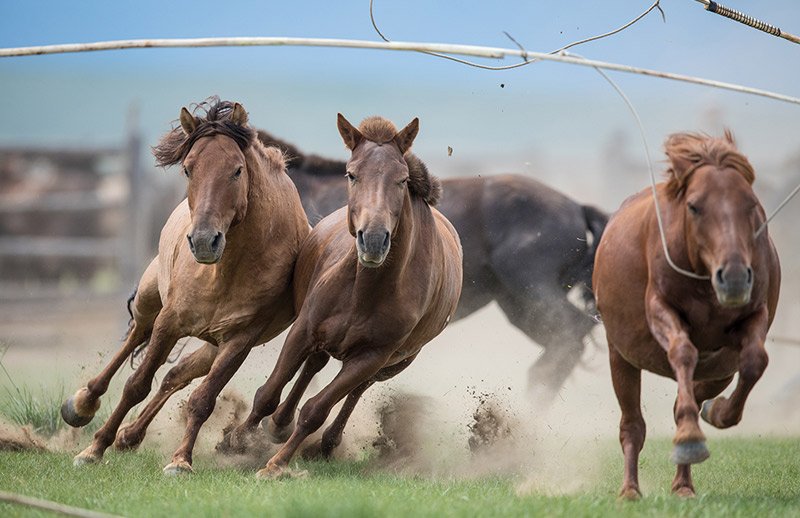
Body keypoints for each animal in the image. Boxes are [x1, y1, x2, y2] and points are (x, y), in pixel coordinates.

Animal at [58, 99, 310, 478]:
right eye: (189, 169)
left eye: (237, 170)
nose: (204, 241)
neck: (224, 270)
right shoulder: (170, 321)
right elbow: (135, 386)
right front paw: (94, 448)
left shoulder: (238, 341)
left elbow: (201, 400)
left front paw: (180, 460)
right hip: (150, 301)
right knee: (135, 341)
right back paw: (84, 403)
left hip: (210, 346)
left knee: (175, 376)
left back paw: (130, 435)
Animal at [220, 116, 462, 478]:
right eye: (351, 174)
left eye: (402, 180)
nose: (373, 239)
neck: (365, 289)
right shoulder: (303, 329)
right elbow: (268, 393)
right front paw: (236, 441)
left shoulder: (372, 356)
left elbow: (317, 410)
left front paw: (277, 464)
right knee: (313, 365)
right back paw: (276, 425)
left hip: (391, 362)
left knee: (356, 389)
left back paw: (323, 441)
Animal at [592, 132, 780, 502]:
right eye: (694, 206)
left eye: (751, 205)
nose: (734, 277)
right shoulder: (660, 309)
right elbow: (682, 351)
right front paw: (691, 437)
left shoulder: (754, 317)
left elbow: (754, 361)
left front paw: (716, 414)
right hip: (620, 357)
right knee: (632, 425)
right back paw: (631, 489)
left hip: (719, 370)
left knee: (696, 391)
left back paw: (683, 483)